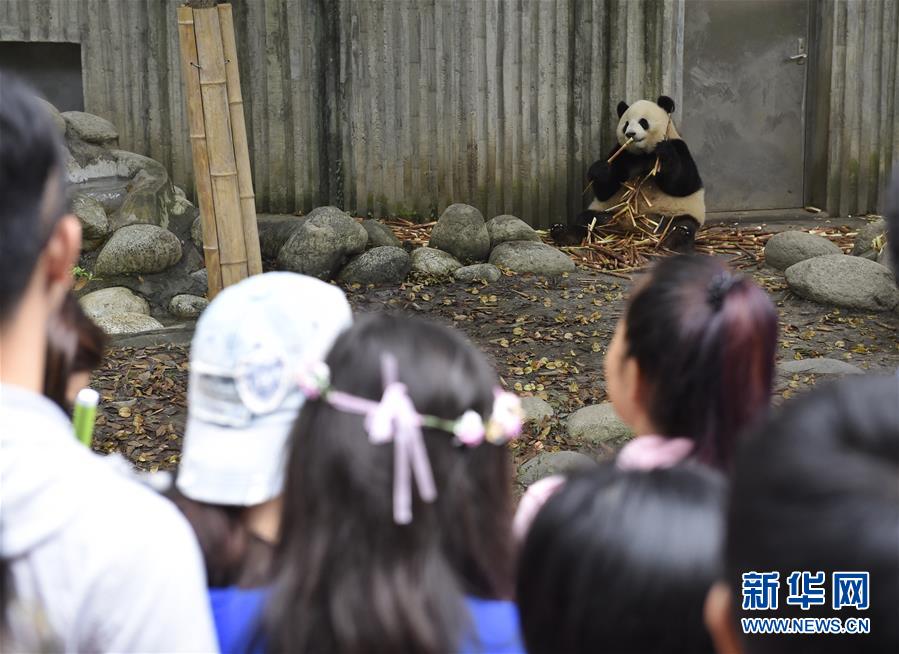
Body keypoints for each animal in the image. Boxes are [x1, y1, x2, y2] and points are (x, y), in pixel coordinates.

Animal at [552, 96, 708, 252]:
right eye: (626, 124)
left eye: (643, 122)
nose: (630, 134)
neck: (643, 153)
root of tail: (634, 229)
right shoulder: (623, 154)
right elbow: (605, 191)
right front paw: (600, 170)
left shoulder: (679, 146)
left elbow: (684, 184)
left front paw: (665, 153)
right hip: (612, 214)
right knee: (587, 219)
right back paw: (563, 233)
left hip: (673, 214)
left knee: (683, 225)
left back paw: (674, 242)